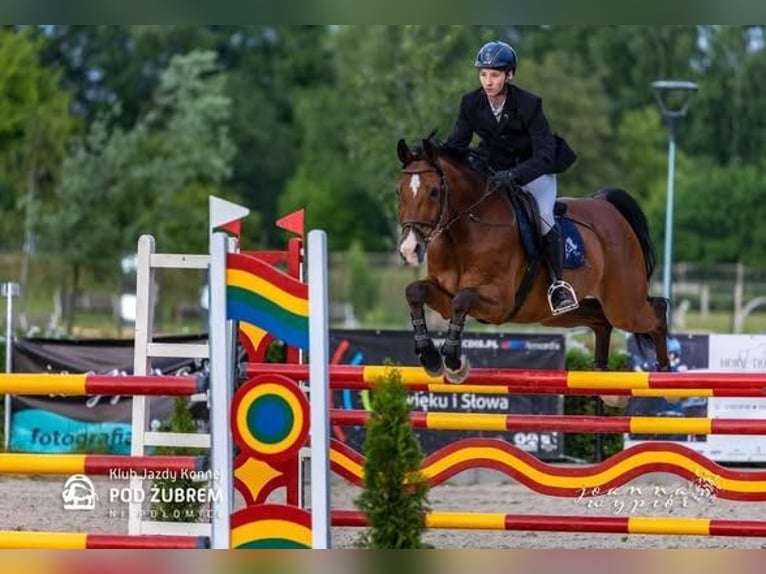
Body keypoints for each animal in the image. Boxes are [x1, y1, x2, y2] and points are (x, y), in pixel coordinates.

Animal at [395, 135, 670, 407]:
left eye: (434, 192)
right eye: (399, 191)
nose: (410, 249)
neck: (463, 232)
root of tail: (606, 206)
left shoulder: (499, 302)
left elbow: (462, 299)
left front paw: (454, 362)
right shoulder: (443, 295)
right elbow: (415, 291)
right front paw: (430, 357)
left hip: (624, 305)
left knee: (655, 312)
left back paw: (664, 372)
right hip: (555, 314)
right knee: (601, 320)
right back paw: (604, 382)